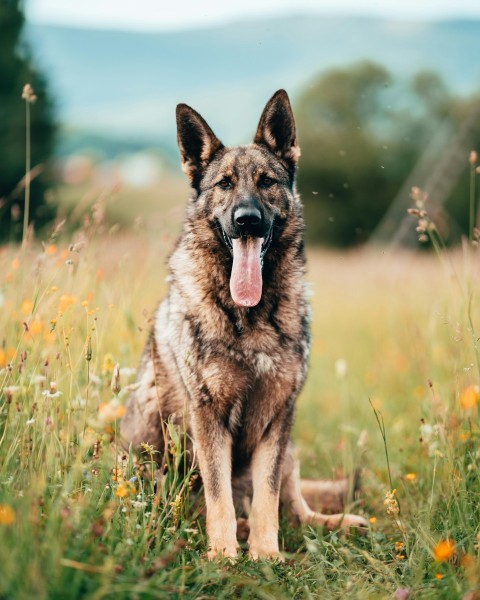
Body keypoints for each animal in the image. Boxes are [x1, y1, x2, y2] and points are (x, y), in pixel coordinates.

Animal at [121, 91, 368, 560]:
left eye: (267, 181)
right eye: (224, 184)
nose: (247, 219)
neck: (250, 315)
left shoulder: (277, 417)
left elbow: (268, 495)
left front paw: (265, 553)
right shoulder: (209, 417)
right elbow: (218, 494)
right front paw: (223, 554)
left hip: (290, 447)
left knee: (295, 508)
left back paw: (335, 522)